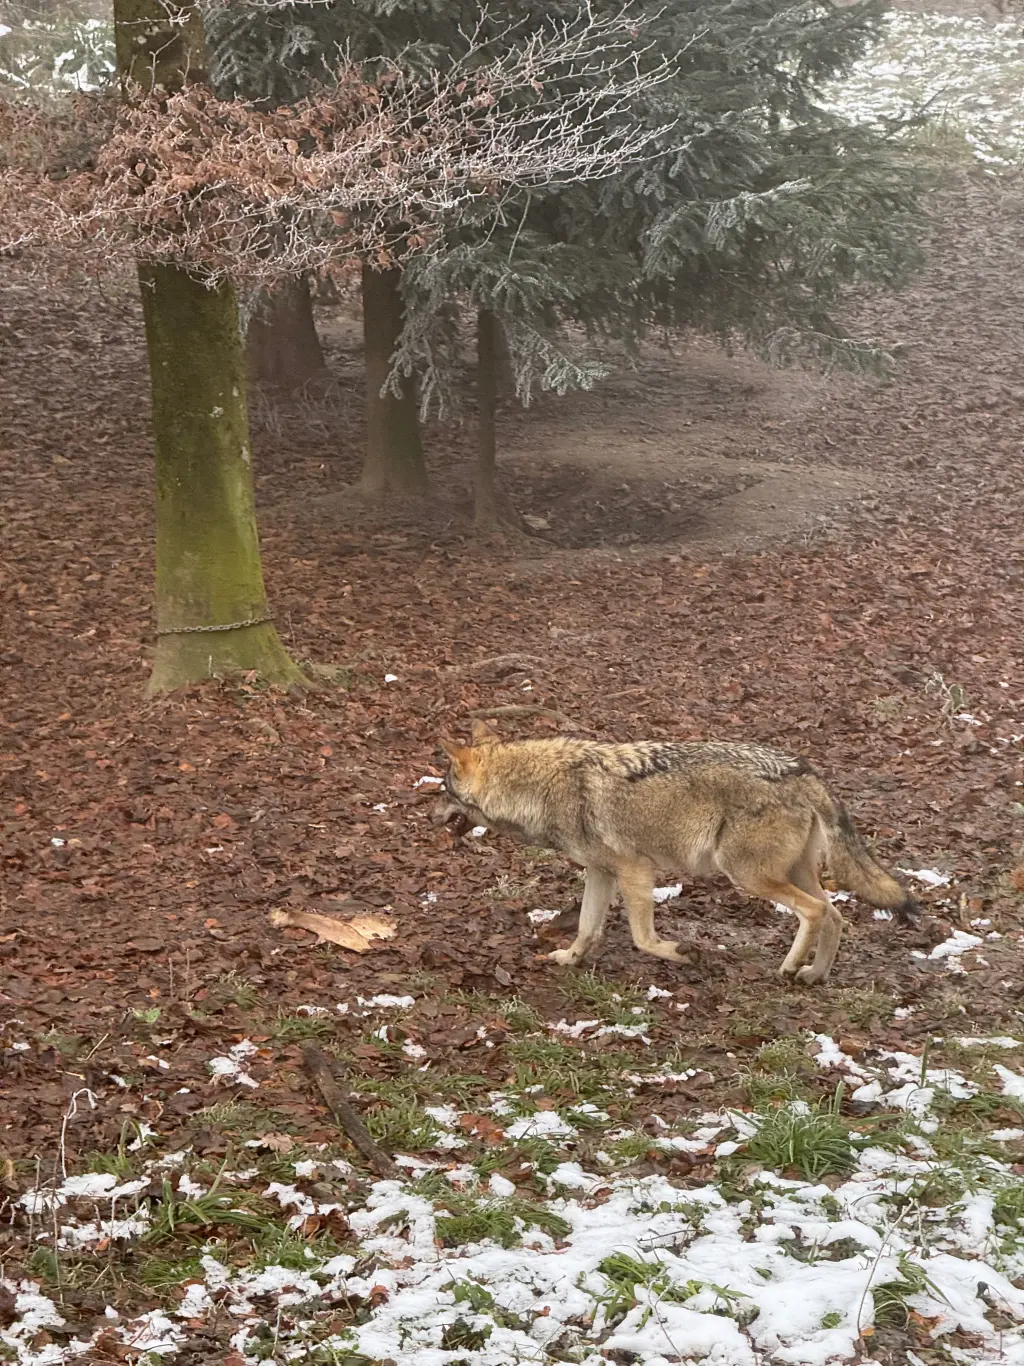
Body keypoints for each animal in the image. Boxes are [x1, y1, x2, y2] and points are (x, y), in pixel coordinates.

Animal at [436, 721, 917, 988]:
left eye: (443, 790)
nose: (427, 812)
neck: (540, 785)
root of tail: (802, 769)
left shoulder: (635, 870)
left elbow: (643, 939)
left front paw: (684, 952)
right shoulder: (600, 873)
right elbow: (587, 929)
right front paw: (570, 960)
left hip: (748, 876)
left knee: (815, 912)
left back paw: (788, 967)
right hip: (789, 875)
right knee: (835, 914)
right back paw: (815, 975)